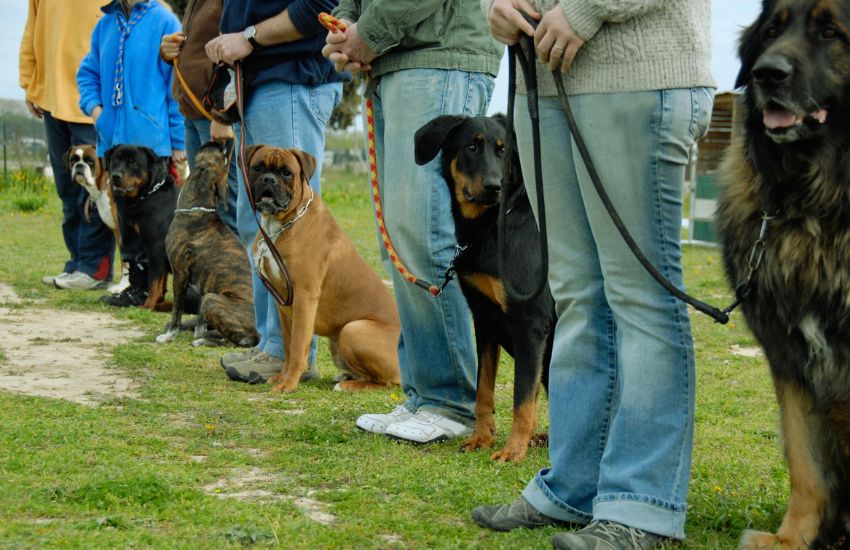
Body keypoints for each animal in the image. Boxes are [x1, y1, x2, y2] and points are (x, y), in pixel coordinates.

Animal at [106, 146, 179, 310]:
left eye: (134, 163)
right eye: (115, 160)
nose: (116, 176)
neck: (151, 193)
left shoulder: (156, 247)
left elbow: (154, 282)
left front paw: (148, 306)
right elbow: (161, 281)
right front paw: (159, 303)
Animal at [156, 142, 255, 350]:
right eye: (224, 157)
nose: (221, 142)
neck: (199, 209)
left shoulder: (180, 274)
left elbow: (176, 312)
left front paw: (169, 336)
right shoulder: (205, 282)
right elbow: (200, 321)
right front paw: (198, 331)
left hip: (212, 300)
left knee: (233, 342)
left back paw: (205, 341)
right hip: (210, 296)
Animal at [243, 144, 400, 394]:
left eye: (287, 173)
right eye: (258, 167)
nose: (269, 179)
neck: (283, 224)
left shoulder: (304, 298)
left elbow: (298, 346)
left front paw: (288, 383)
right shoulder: (283, 304)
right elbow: (288, 346)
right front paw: (281, 377)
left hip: (353, 329)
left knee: (387, 382)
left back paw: (348, 385)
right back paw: (344, 376)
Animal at [412, 114, 556, 464]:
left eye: (504, 151)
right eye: (472, 147)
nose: (494, 186)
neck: (493, 225)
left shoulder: (530, 324)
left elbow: (522, 397)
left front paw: (513, 450)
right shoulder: (484, 319)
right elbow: (484, 390)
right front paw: (482, 438)